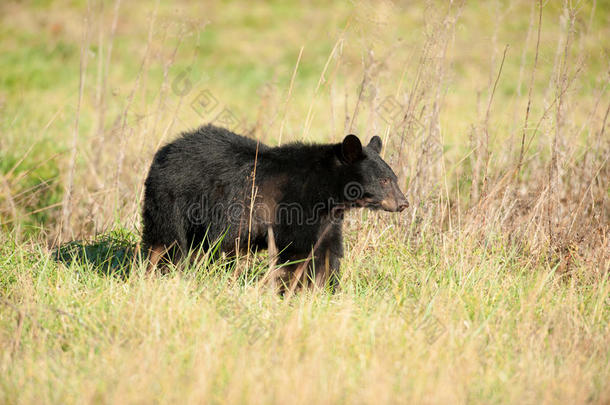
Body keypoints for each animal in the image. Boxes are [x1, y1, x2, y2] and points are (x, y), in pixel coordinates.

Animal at [142, 124, 406, 288]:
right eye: (384, 180)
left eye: (394, 177)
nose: (404, 203)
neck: (325, 191)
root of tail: (165, 150)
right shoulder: (292, 208)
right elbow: (298, 253)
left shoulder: (327, 219)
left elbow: (326, 252)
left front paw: (327, 288)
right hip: (173, 200)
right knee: (167, 242)